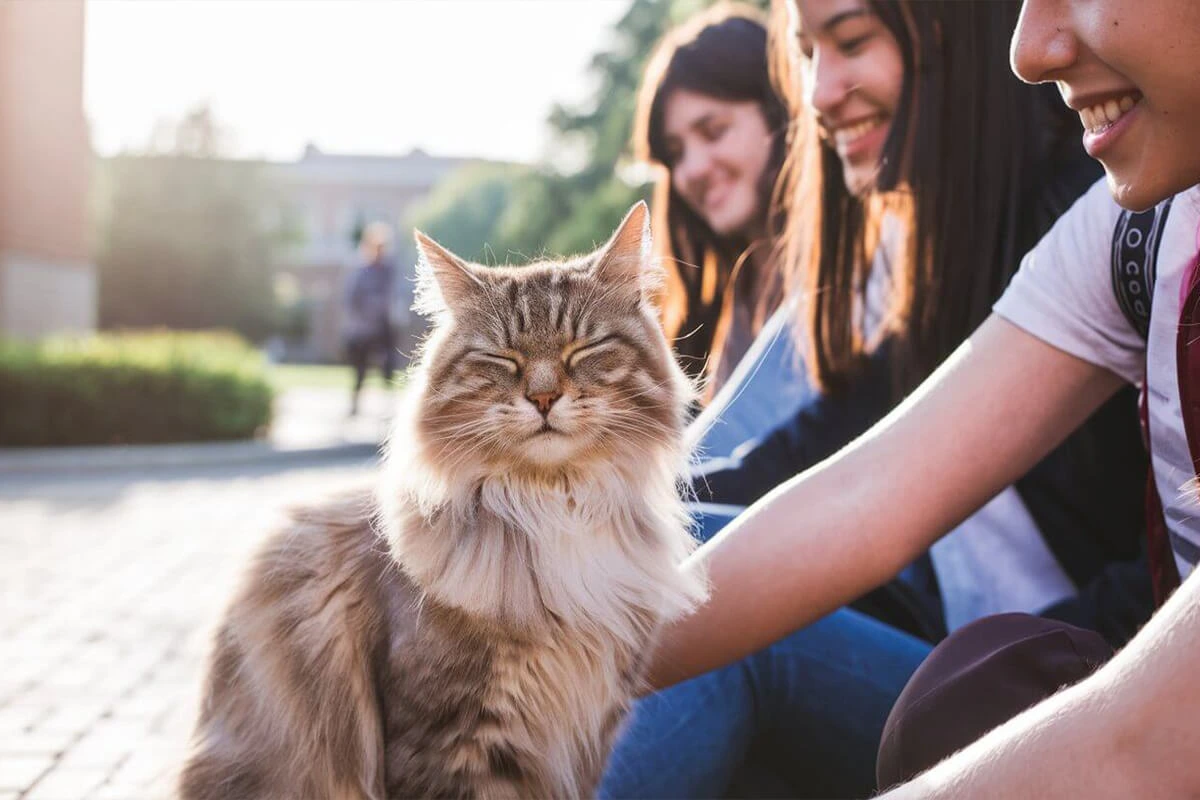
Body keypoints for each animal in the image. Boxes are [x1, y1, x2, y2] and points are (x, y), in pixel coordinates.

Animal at [174, 201, 705, 800]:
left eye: (584, 349)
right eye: (503, 359)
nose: (544, 397)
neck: (549, 505)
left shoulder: (595, 727)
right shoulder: (451, 736)